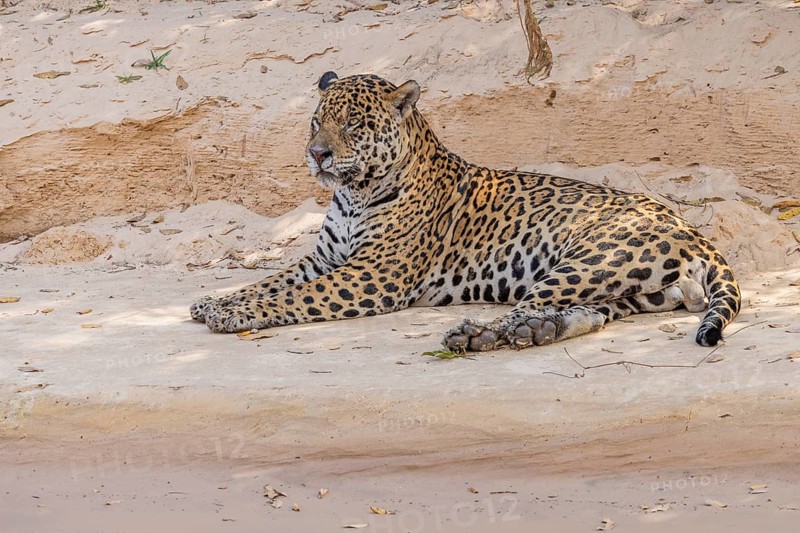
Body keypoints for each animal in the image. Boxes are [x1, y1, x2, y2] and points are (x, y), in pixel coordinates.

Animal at [190, 71, 741, 352]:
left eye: (353, 124)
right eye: (316, 121)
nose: (317, 154)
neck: (353, 193)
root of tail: (695, 231)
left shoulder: (372, 275)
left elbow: (296, 296)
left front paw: (232, 313)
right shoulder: (325, 258)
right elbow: (273, 281)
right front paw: (217, 300)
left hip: (588, 259)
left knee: (526, 309)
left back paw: (478, 334)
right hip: (632, 289)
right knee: (589, 313)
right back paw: (539, 332)